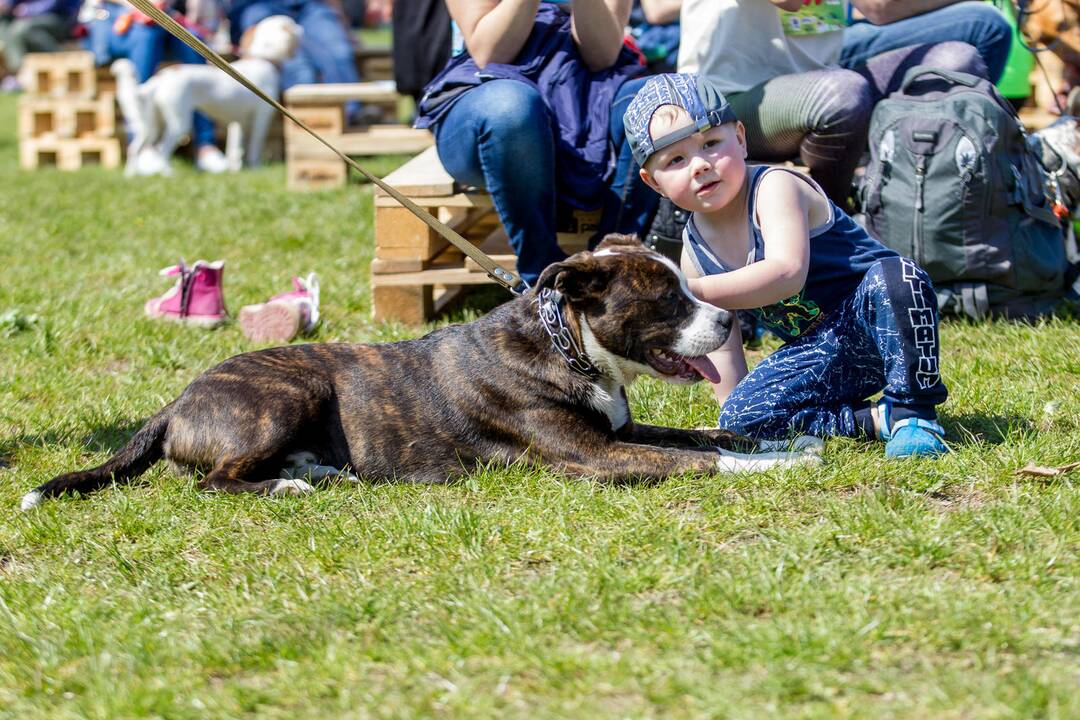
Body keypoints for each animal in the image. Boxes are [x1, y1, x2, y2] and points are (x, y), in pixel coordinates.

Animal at [21, 234, 816, 509]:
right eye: (668, 299)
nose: (730, 322)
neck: (567, 343)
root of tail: (176, 400)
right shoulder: (593, 459)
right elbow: (699, 461)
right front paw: (785, 467)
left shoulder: (621, 431)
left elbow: (708, 438)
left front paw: (791, 442)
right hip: (289, 392)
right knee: (215, 482)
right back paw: (284, 485)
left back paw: (315, 471)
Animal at [113, 15, 302, 175]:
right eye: (292, 23)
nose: (301, 28)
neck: (263, 59)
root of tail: (161, 77)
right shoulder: (260, 119)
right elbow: (254, 148)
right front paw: (256, 169)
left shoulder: (237, 124)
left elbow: (235, 150)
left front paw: (235, 171)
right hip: (179, 122)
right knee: (162, 149)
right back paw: (167, 173)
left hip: (153, 124)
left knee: (135, 148)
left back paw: (130, 175)